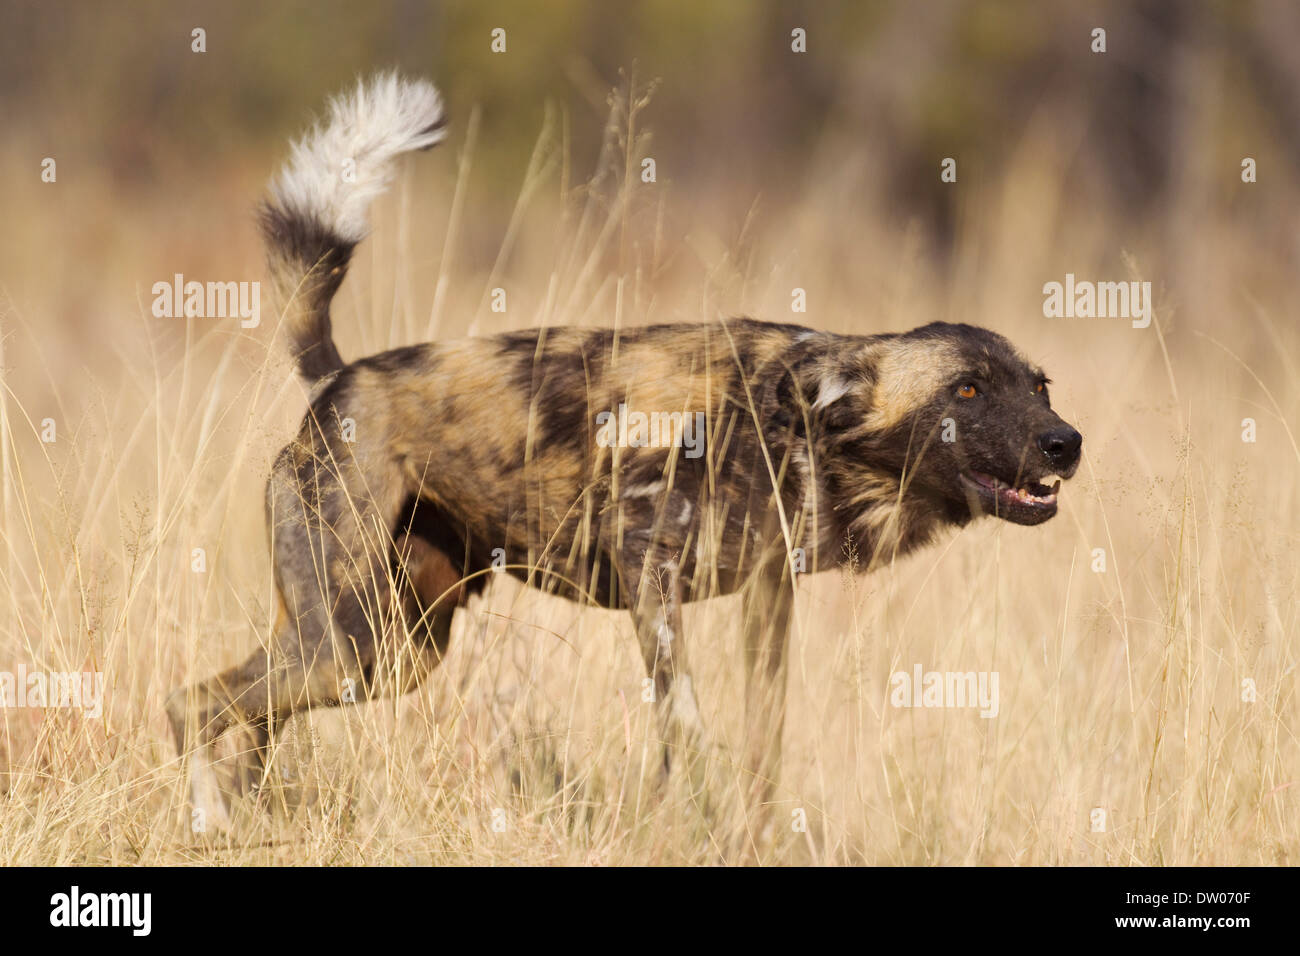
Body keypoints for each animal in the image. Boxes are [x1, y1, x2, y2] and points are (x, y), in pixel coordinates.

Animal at [162, 72, 1081, 832]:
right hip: (347, 643)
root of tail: (340, 379)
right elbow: (686, 728)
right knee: (188, 701)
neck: (797, 428)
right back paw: (208, 823)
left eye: (1039, 386)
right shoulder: (650, 570)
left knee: (244, 716)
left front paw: (750, 831)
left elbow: (762, 747)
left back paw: (246, 818)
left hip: (386, 651)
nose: (1066, 442)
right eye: (967, 391)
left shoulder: (767, 597)